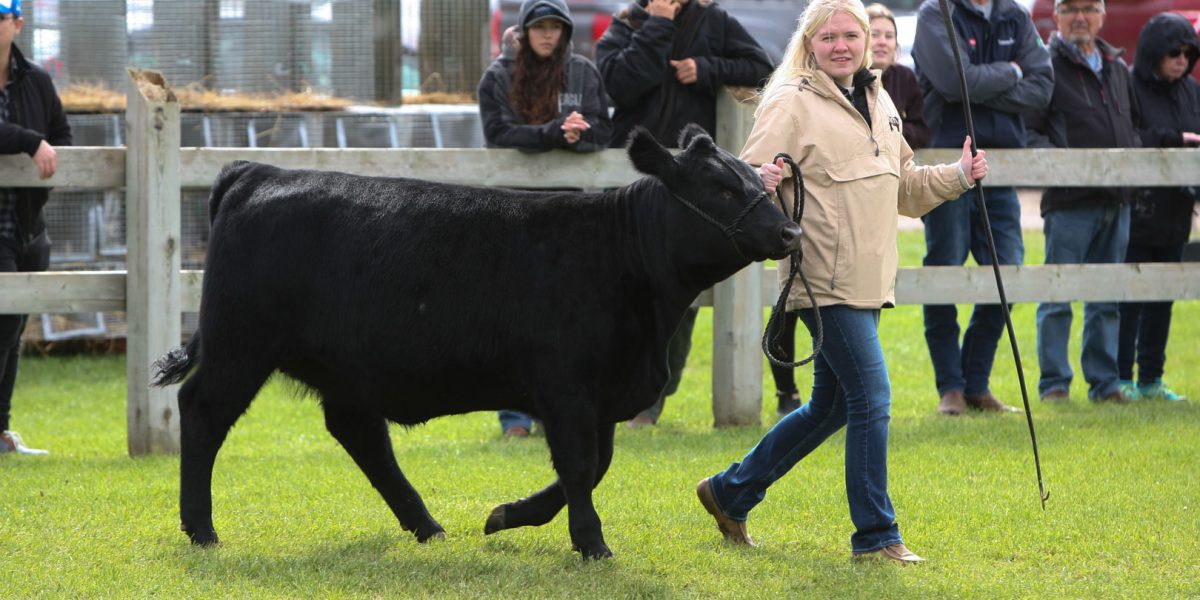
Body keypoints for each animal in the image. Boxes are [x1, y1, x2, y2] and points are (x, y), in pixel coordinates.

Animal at [154, 124, 801, 559]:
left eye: (757, 179)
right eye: (720, 187)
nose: (790, 232)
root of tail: (259, 172)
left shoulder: (607, 391)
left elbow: (595, 466)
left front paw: (508, 516)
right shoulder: (564, 384)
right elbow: (581, 464)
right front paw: (591, 544)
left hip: (341, 369)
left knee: (361, 435)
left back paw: (427, 527)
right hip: (240, 345)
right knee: (203, 411)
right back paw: (202, 530)